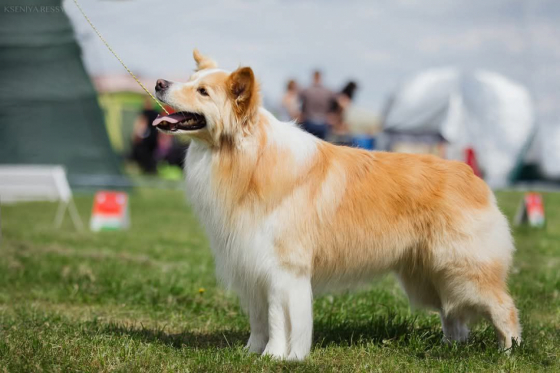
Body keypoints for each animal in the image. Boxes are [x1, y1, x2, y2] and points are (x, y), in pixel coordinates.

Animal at [152, 50, 520, 358]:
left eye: (203, 91)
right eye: (189, 80)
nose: (158, 82)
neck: (248, 159)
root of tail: (471, 174)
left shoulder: (282, 269)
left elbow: (276, 318)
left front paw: (276, 356)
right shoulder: (251, 265)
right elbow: (258, 319)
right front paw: (250, 353)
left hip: (463, 267)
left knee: (503, 306)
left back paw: (507, 353)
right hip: (428, 274)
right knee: (452, 313)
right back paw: (449, 347)